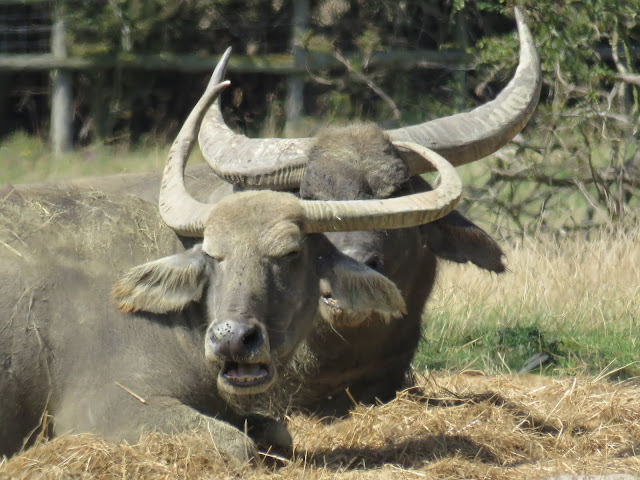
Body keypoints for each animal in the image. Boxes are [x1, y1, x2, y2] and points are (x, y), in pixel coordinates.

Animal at [0, 65, 462, 460]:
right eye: (212, 255)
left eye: (291, 252)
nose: (233, 338)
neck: (177, 319)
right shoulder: (108, 409)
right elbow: (238, 446)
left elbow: (277, 431)